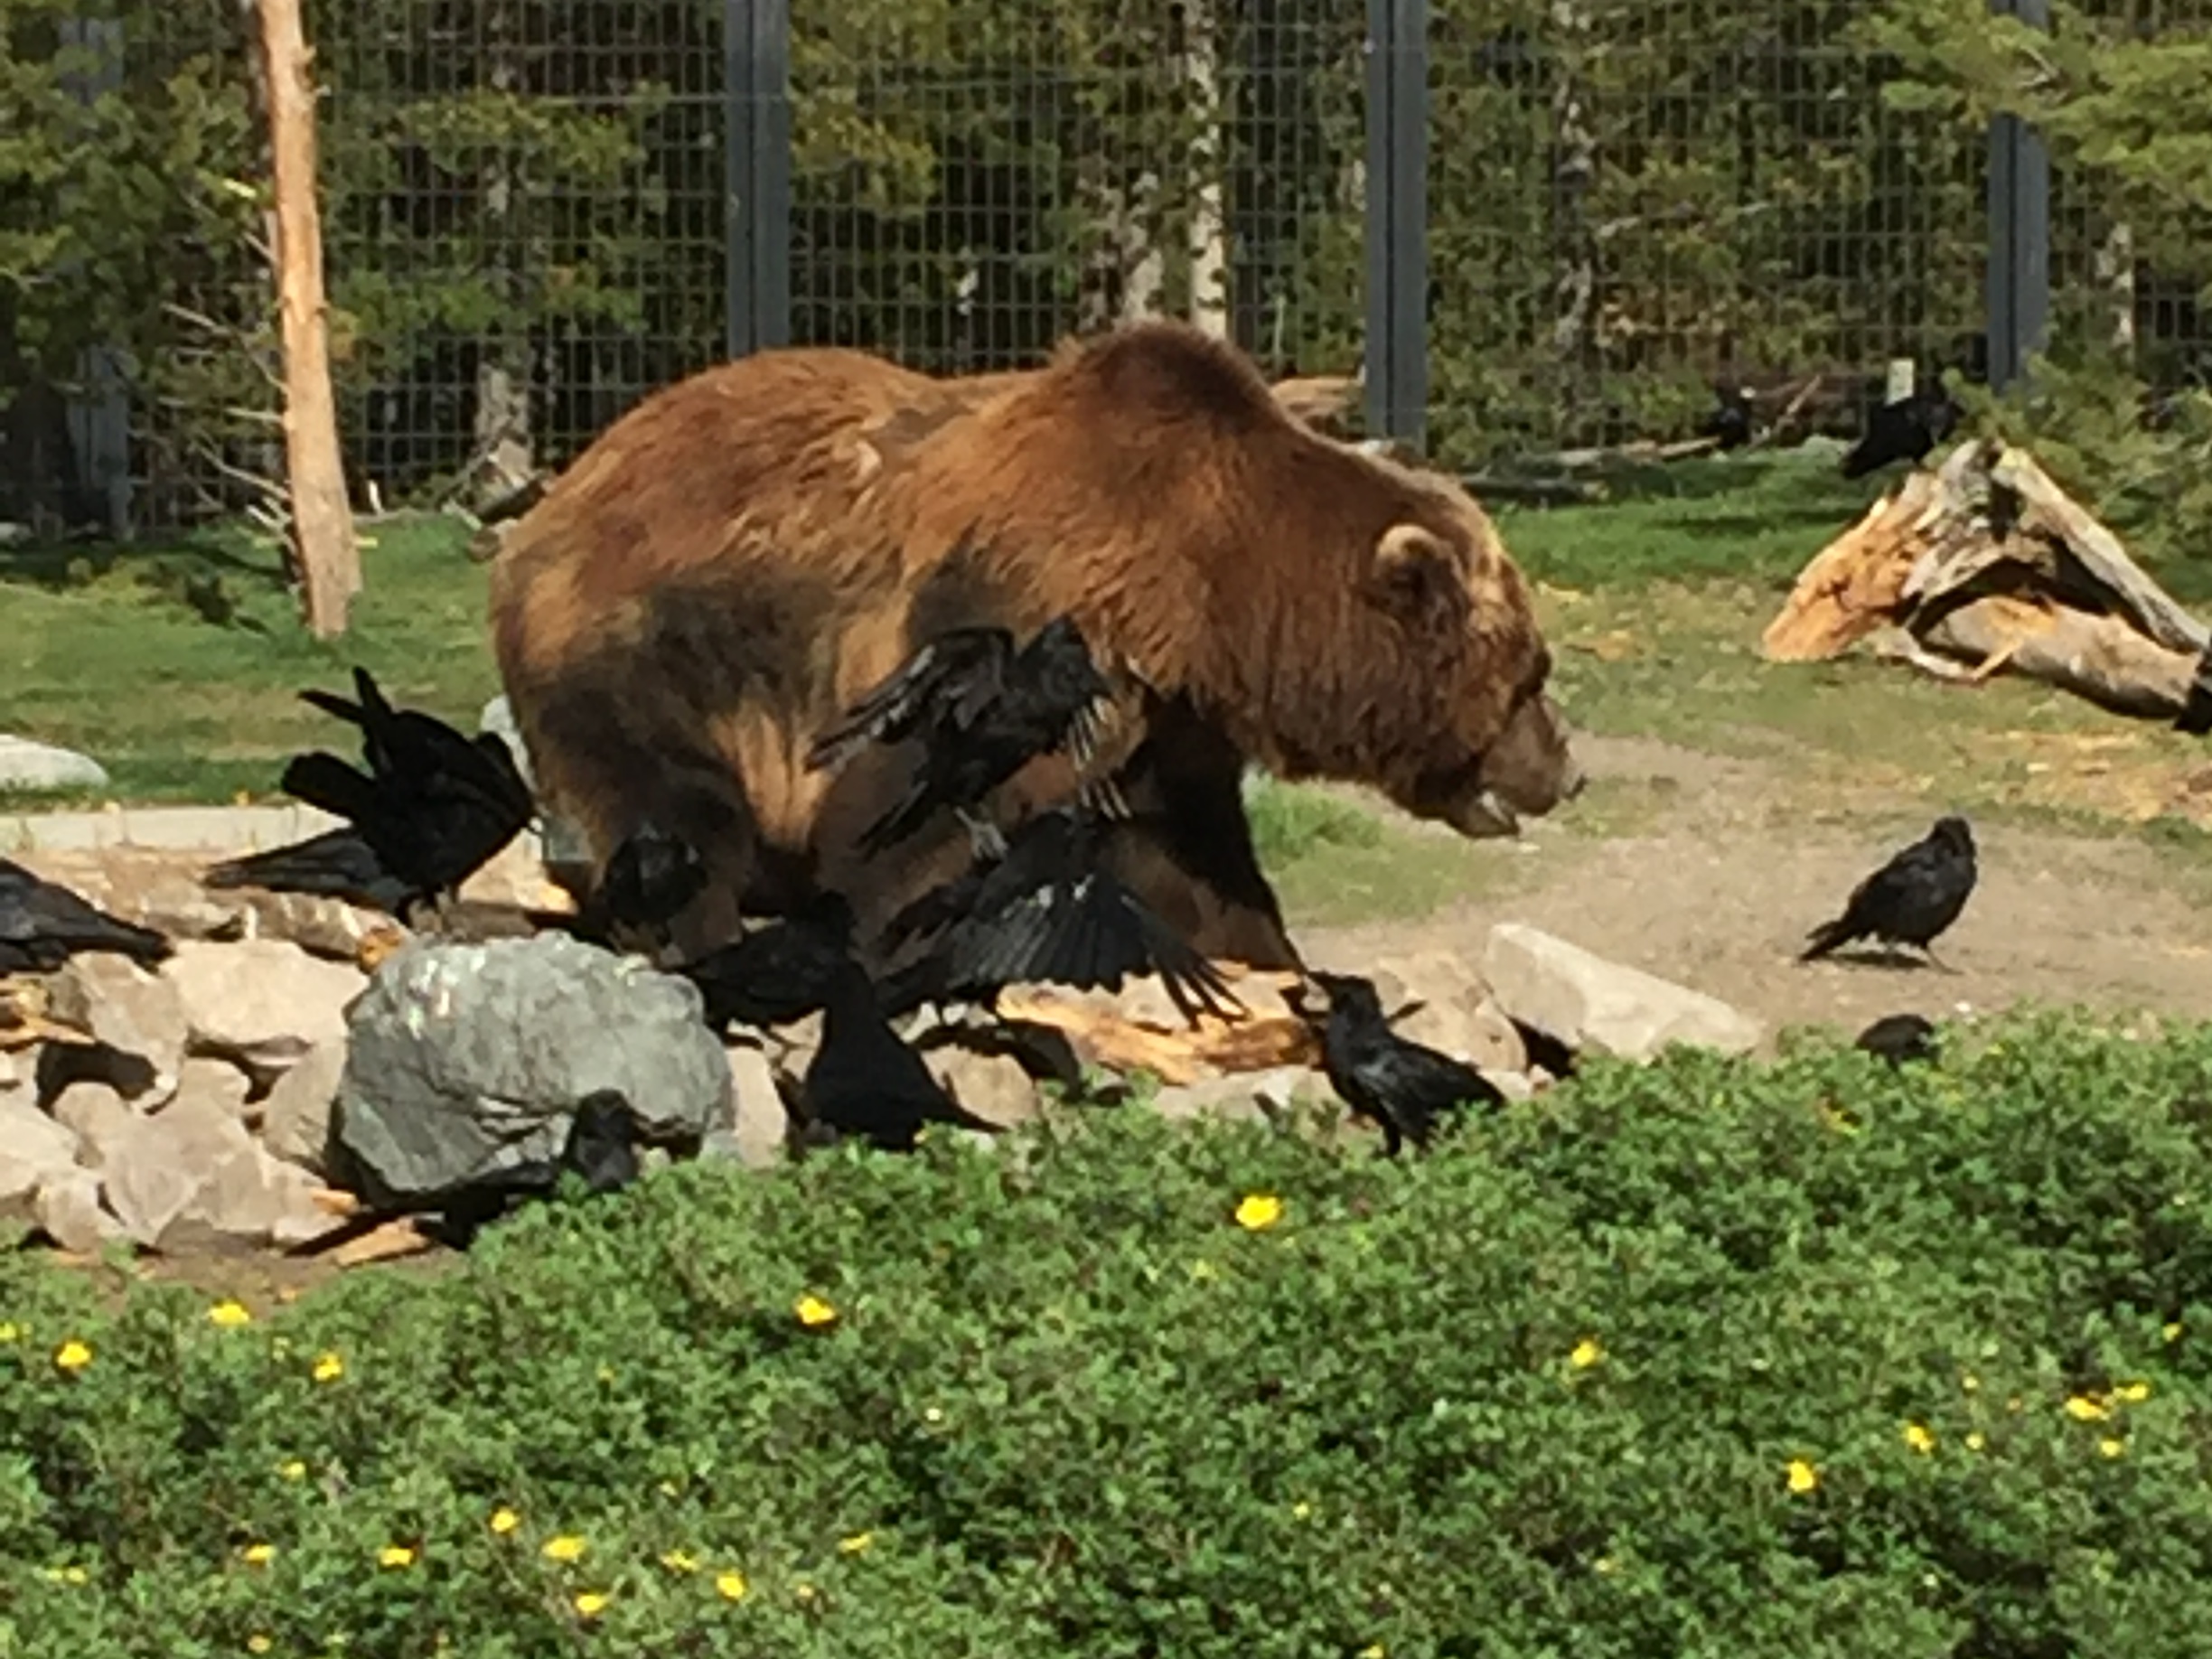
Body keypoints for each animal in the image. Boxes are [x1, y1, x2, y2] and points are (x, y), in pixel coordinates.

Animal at [492, 320, 1583, 973]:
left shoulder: (1164, 718)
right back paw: (702, 932)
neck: (1212, 589)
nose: (1566, 769)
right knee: (675, 813)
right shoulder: (1020, 625)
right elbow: (907, 818)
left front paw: (1270, 958)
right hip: (644, 648)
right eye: (1531, 671)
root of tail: (559, 493)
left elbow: (1197, 857)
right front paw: (900, 950)